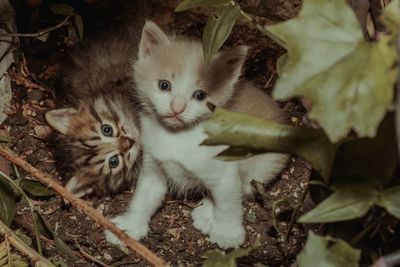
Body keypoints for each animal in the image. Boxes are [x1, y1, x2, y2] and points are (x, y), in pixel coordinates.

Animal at [104, 21, 290, 249]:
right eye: (164, 85)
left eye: (200, 95)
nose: (177, 108)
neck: (177, 136)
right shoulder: (152, 165)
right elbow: (144, 196)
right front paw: (128, 226)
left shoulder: (226, 169)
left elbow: (228, 201)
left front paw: (228, 232)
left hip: (267, 163)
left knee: (245, 186)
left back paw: (208, 213)